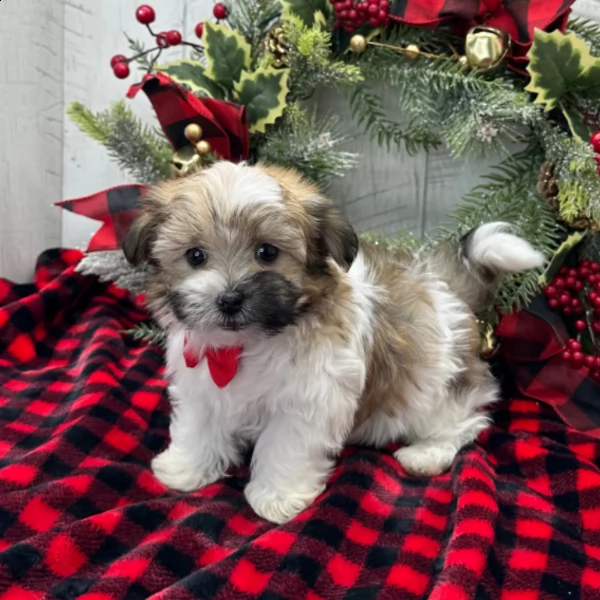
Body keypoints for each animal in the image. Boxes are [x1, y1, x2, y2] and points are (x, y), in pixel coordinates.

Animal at [124, 162, 548, 524]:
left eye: (267, 252)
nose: (229, 299)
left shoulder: (306, 402)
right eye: (195, 256)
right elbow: (198, 427)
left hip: (434, 387)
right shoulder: (202, 387)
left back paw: (427, 453)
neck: (247, 343)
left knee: (466, 418)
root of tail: (442, 282)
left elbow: (285, 446)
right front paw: (185, 469)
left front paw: (277, 497)